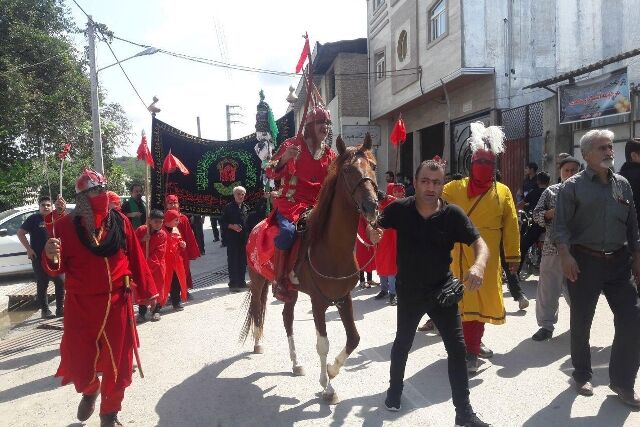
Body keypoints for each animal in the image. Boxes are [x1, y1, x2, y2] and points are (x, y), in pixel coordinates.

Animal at [240, 135, 380, 404]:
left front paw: (332, 370)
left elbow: (354, 338)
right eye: (347, 170)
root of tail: (256, 226)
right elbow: (322, 344)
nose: (372, 206)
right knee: (257, 309)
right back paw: (258, 343)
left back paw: (295, 364)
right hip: (258, 279)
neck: (332, 247)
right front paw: (327, 386)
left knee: (287, 319)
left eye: (374, 166)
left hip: (291, 292)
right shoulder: (318, 301)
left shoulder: (344, 297)